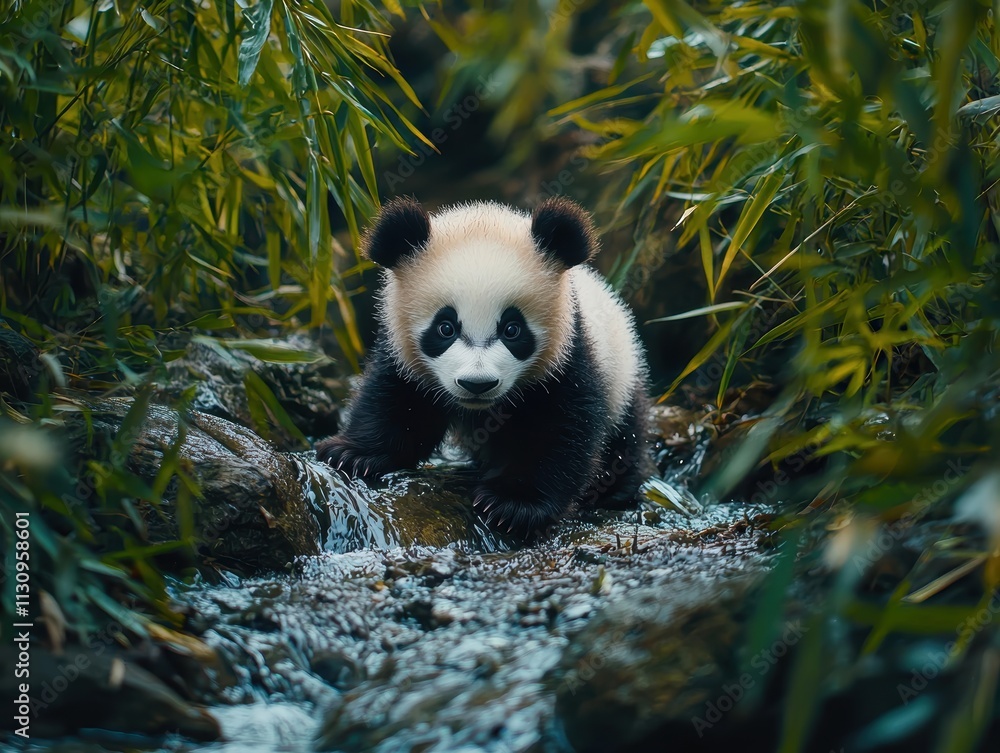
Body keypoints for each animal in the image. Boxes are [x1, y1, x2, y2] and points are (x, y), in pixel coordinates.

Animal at [316, 196, 650, 536]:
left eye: (512, 329)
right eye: (445, 328)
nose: (477, 384)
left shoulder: (568, 355)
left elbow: (560, 429)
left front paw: (513, 504)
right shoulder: (402, 352)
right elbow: (394, 400)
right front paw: (353, 454)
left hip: (621, 373)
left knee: (625, 438)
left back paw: (614, 490)